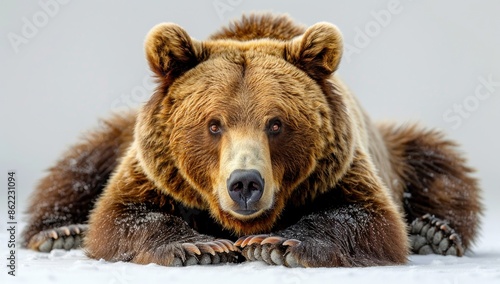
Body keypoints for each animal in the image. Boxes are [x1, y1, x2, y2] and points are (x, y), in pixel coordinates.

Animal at [22, 13, 480, 266]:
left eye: (275, 124)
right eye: (214, 124)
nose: (245, 183)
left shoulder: (339, 168)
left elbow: (368, 217)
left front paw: (277, 244)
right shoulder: (154, 170)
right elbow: (122, 214)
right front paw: (202, 247)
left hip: (403, 150)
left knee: (440, 166)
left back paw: (435, 232)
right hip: (113, 137)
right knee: (80, 165)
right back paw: (60, 233)